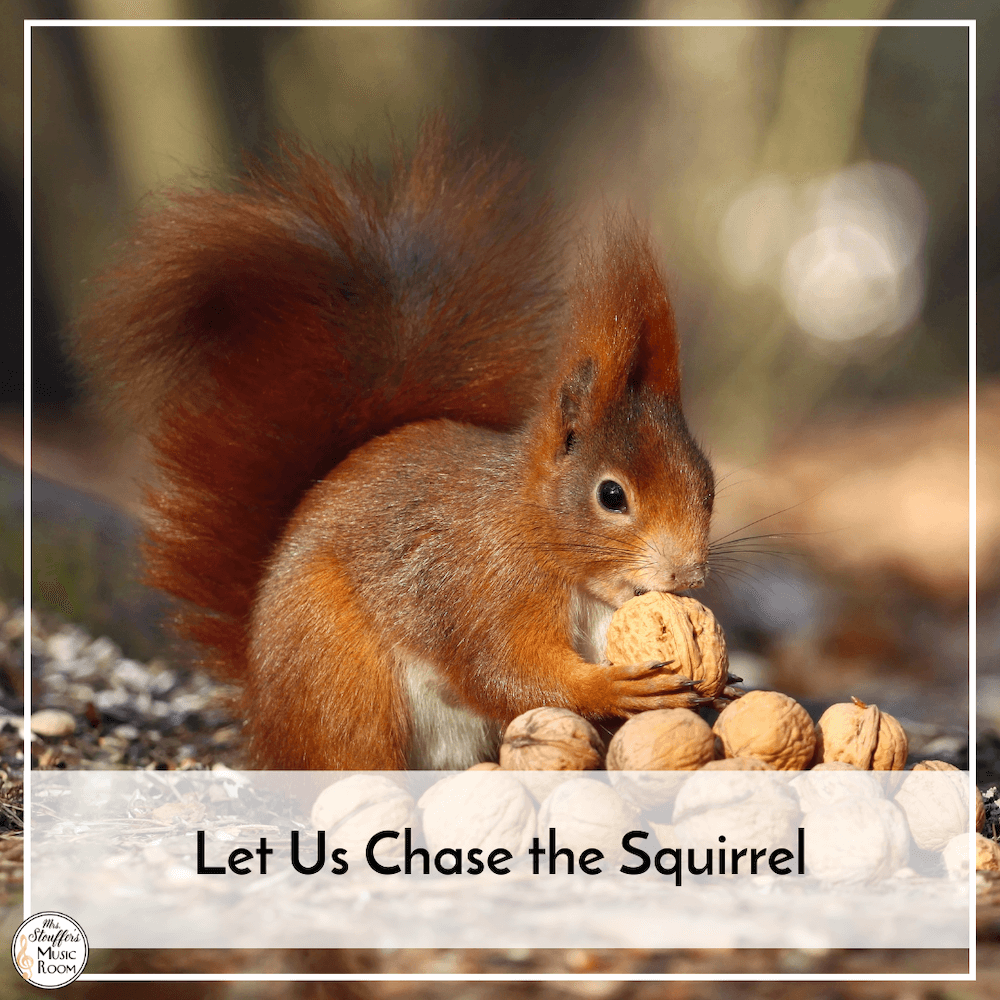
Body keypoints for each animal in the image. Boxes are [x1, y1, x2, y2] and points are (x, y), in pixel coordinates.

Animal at [74, 117, 716, 770]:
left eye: (708, 486)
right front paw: (611, 688)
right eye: (611, 496)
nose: (687, 576)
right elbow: (505, 669)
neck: (535, 531)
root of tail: (264, 719)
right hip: (342, 677)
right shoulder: (483, 588)